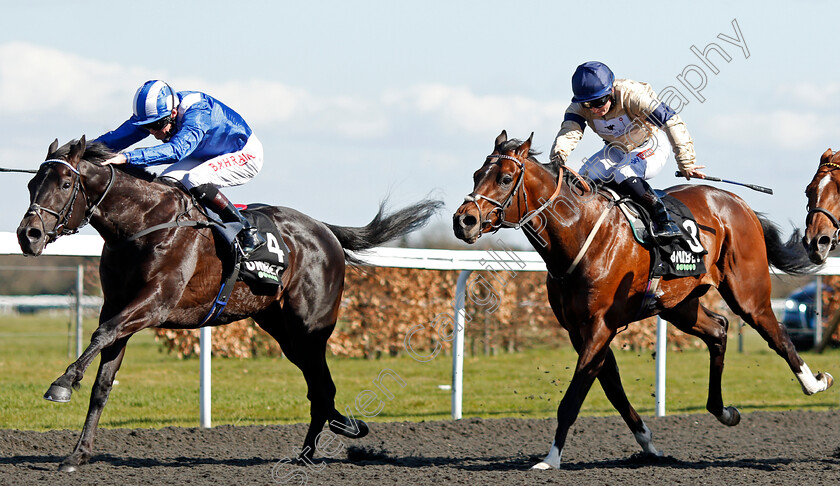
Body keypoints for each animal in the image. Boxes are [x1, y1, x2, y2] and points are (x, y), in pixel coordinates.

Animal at [16, 136, 442, 470]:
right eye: (33, 182)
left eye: (66, 182)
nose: (28, 234)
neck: (143, 224)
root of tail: (326, 230)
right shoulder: (119, 306)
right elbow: (103, 382)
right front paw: (78, 454)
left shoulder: (153, 303)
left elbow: (101, 334)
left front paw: (61, 384)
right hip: (281, 329)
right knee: (319, 386)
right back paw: (328, 437)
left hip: (310, 327)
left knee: (321, 384)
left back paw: (315, 448)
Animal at [450, 131, 832, 468]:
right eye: (476, 175)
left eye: (505, 178)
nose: (463, 220)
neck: (582, 234)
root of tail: (739, 203)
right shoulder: (580, 331)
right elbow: (613, 389)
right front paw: (648, 445)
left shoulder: (600, 327)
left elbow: (573, 398)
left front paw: (550, 459)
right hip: (680, 305)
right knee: (719, 329)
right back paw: (723, 410)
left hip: (748, 295)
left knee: (777, 335)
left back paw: (814, 382)